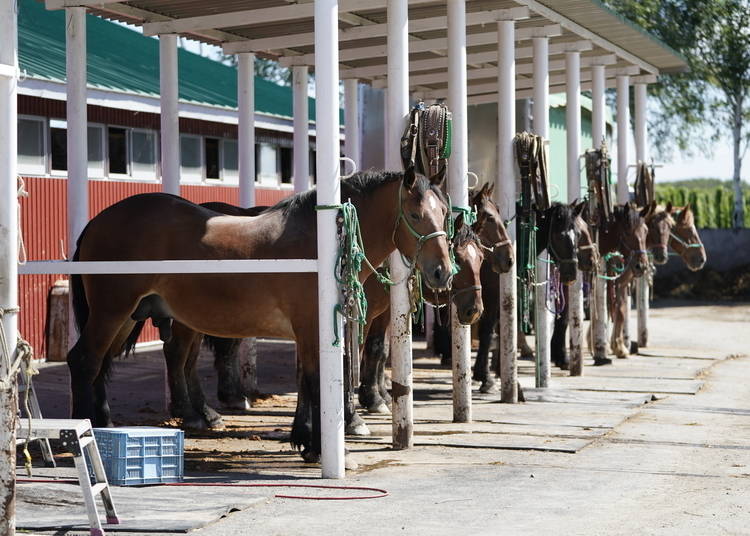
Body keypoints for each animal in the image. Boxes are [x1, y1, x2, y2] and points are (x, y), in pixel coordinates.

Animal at [69, 170, 452, 462]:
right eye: (415, 215)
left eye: (446, 214)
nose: (442, 273)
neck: (319, 241)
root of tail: (97, 221)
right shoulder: (313, 326)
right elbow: (317, 381)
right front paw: (322, 446)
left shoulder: (309, 330)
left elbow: (306, 379)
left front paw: (305, 440)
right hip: (112, 311)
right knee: (86, 360)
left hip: (128, 315)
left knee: (105, 363)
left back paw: (106, 423)